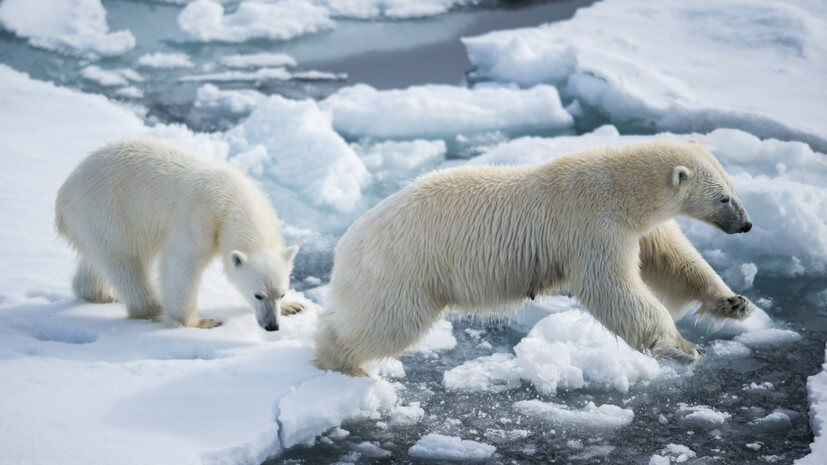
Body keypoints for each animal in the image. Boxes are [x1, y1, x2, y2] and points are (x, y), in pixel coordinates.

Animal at [55, 138, 302, 330]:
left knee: (96, 261)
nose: (272, 326)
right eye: (258, 294)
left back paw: (100, 294)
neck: (234, 201)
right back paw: (152, 308)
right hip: (108, 211)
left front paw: (293, 307)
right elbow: (181, 263)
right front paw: (199, 322)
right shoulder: (199, 216)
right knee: (126, 262)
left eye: (281, 293)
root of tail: (64, 194)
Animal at [316, 140, 756, 376]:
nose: (747, 224)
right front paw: (685, 348)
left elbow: (674, 262)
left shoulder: (639, 228)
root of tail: (347, 242)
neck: (620, 188)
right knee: (388, 320)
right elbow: (614, 289)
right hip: (403, 266)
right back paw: (342, 361)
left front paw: (734, 303)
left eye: (734, 189)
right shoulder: (592, 226)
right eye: (724, 198)